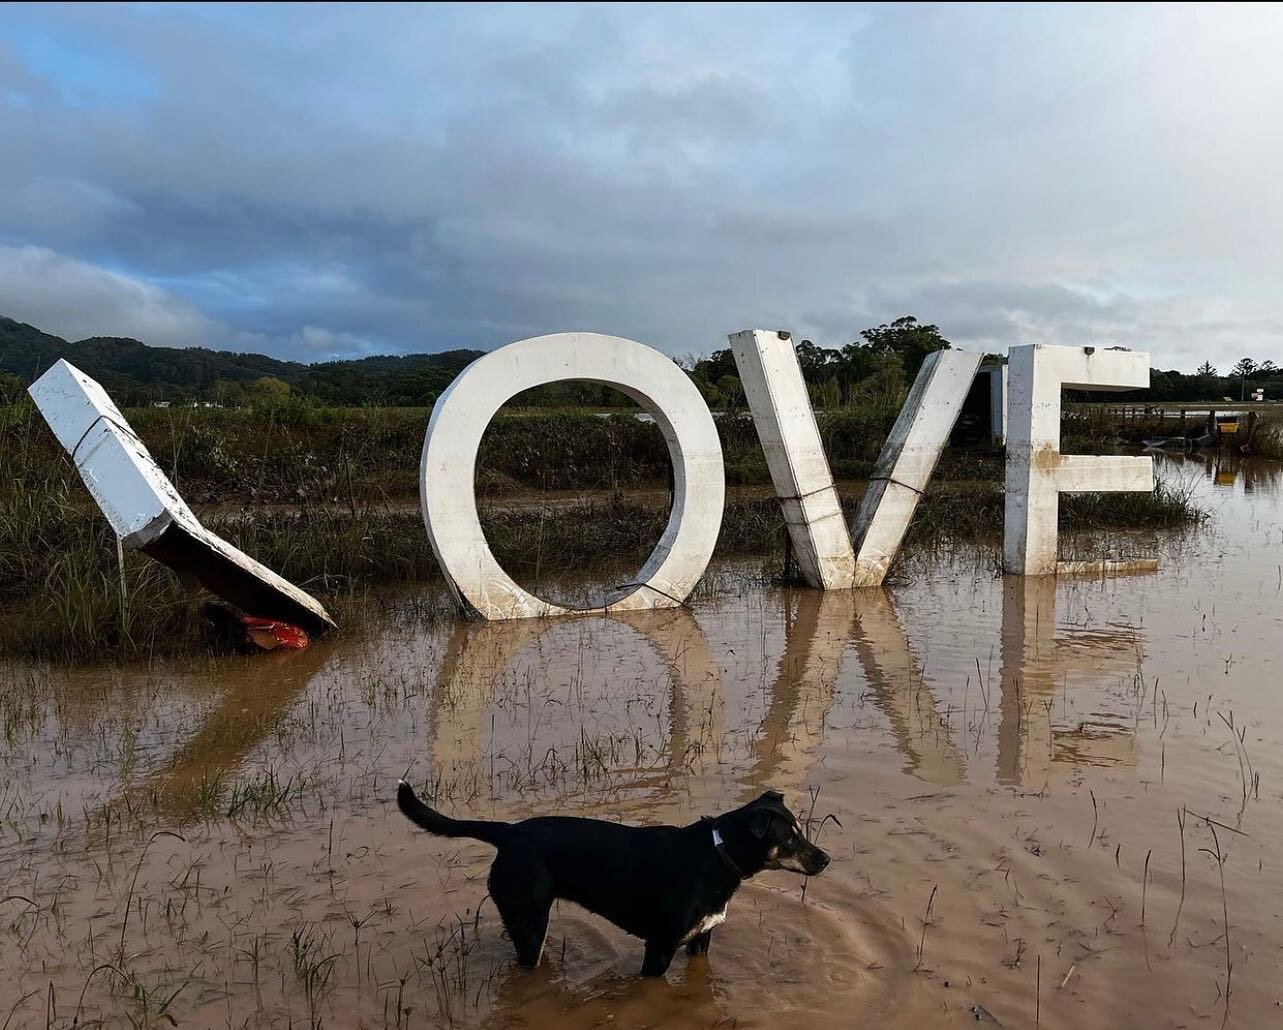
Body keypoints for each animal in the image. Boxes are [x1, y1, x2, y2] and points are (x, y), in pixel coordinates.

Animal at [395, 785, 831, 979]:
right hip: (530, 924)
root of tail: (508, 832)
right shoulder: (660, 947)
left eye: (800, 832)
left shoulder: (701, 941)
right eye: (790, 839)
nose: (826, 859)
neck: (715, 856)